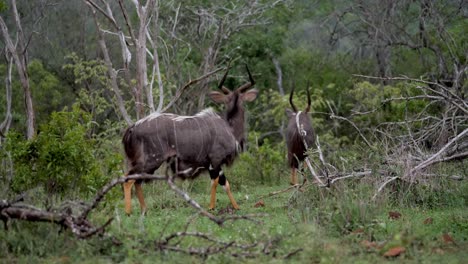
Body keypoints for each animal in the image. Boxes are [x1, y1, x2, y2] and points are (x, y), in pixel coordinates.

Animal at [122, 65, 258, 214]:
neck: (229, 127)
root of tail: (133, 127)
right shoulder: (215, 160)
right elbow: (215, 182)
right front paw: (211, 207)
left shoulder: (215, 164)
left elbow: (225, 183)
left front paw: (236, 207)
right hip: (152, 160)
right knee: (128, 179)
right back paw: (128, 212)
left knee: (137, 181)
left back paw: (144, 210)